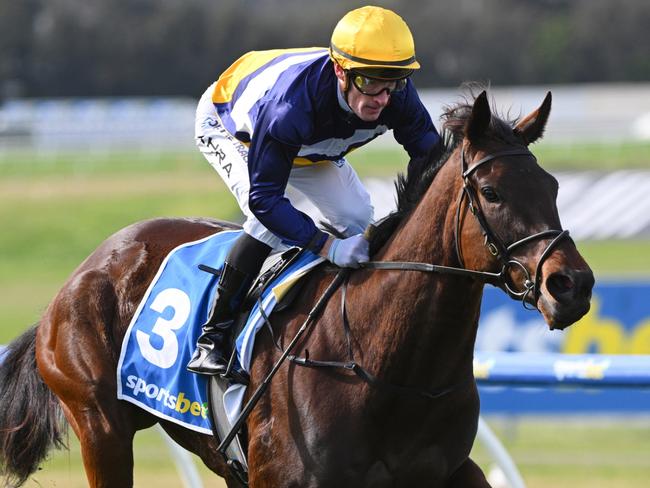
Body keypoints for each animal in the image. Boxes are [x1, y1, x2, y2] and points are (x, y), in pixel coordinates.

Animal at [0, 89, 592, 486]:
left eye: (553, 185)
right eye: (491, 192)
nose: (572, 284)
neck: (388, 368)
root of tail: (83, 272)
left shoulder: (448, 471)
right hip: (100, 425)